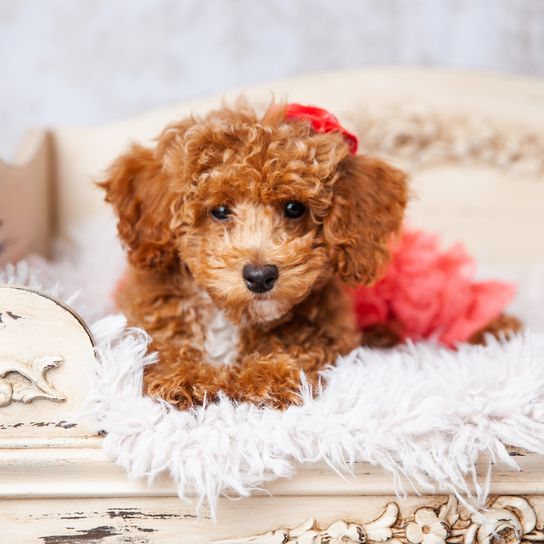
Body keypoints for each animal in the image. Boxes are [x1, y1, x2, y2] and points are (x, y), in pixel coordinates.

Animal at [101, 102, 520, 410]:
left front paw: (269, 376)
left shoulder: (327, 329)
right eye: (219, 211)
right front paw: (184, 376)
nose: (260, 275)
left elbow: (301, 348)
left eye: (294, 208)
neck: (231, 317)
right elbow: (157, 345)